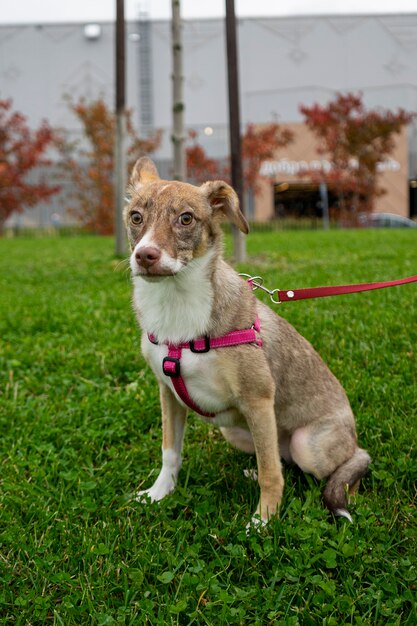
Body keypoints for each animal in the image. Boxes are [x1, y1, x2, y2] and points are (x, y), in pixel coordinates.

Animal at [123, 156, 370, 520]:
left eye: (186, 218)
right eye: (136, 217)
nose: (145, 256)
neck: (176, 305)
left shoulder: (258, 399)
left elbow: (271, 475)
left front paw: (264, 520)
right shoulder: (168, 394)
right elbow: (170, 452)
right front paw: (159, 493)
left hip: (307, 444)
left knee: (342, 464)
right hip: (235, 431)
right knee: (278, 459)